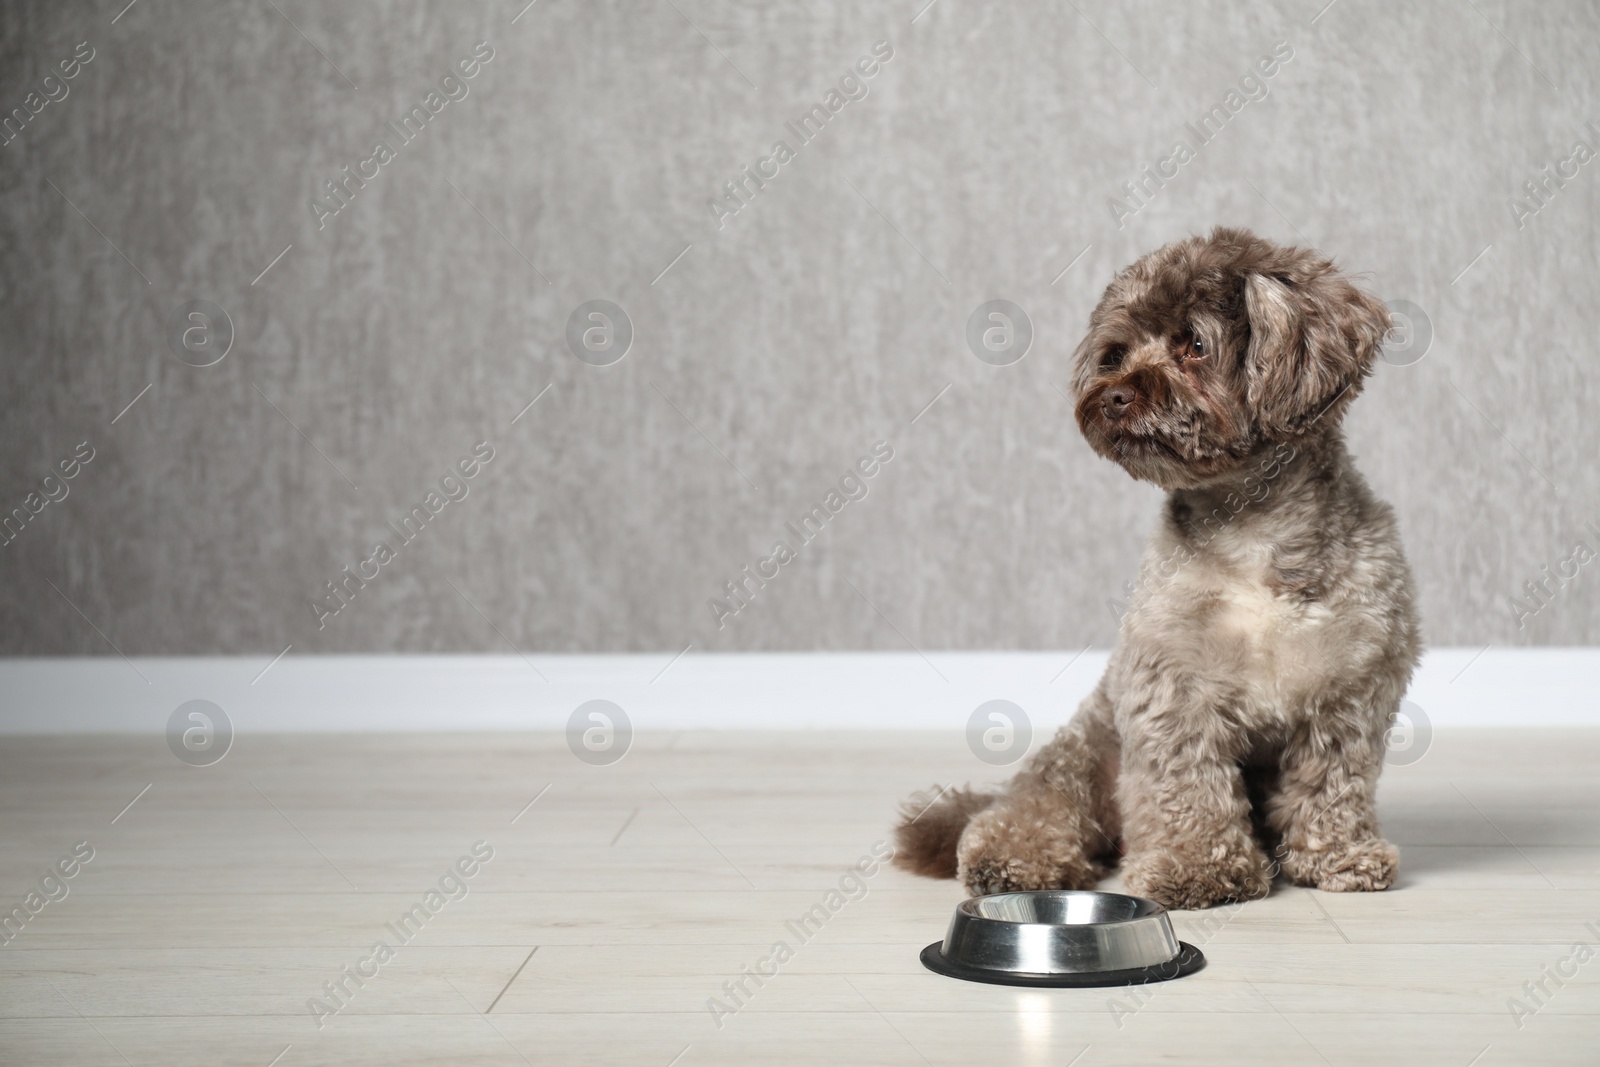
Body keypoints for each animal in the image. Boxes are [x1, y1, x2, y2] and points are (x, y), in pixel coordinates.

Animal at [896, 225, 1420, 908]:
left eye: (1194, 344)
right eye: (1116, 353)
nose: (1114, 395)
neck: (1255, 533)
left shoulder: (1350, 688)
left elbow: (1333, 783)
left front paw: (1338, 855)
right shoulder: (1173, 688)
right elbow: (1187, 788)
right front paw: (1198, 867)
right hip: (1084, 754)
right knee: (1028, 808)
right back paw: (1016, 857)